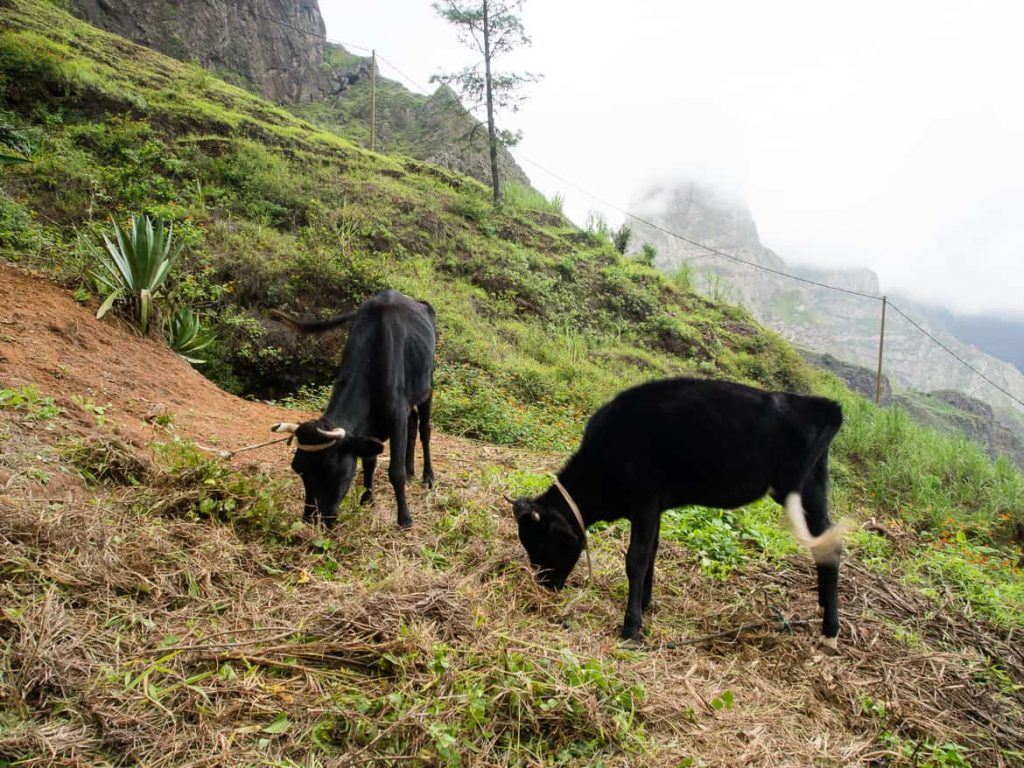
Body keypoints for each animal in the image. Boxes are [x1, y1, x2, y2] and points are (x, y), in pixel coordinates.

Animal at [270, 288, 434, 528]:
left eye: (332, 470)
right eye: (298, 469)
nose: (312, 520)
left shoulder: (396, 414)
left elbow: (395, 471)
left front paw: (404, 518)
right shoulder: (372, 426)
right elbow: (369, 461)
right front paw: (367, 500)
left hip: (428, 387)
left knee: (424, 429)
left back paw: (428, 476)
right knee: (413, 427)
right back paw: (411, 470)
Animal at [507, 378, 851, 651]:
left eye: (542, 544)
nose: (545, 587)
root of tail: (823, 405)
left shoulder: (645, 503)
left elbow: (635, 560)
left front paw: (631, 628)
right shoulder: (654, 509)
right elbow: (652, 553)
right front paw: (645, 604)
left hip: (798, 490)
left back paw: (830, 630)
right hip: (813, 487)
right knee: (827, 546)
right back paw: (826, 621)